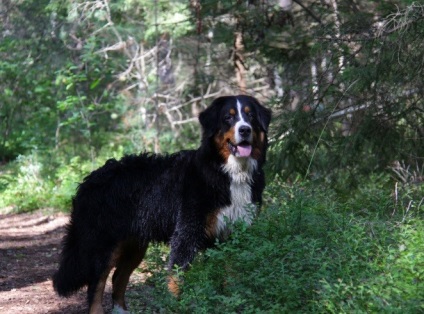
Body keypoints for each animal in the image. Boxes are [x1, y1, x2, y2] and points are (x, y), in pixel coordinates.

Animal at [53, 95, 272, 314]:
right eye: (228, 117)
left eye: (251, 116)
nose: (244, 130)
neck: (228, 173)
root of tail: (89, 180)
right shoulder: (187, 233)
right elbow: (176, 279)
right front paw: (176, 306)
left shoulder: (233, 232)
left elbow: (230, 275)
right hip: (103, 244)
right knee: (96, 284)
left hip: (134, 244)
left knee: (118, 277)